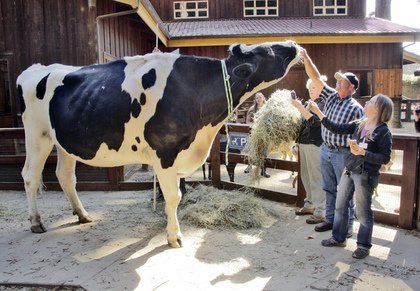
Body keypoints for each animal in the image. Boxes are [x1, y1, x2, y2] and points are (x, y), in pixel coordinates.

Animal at [18, 40, 300, 246]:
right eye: (268, 51)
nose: (293, 44)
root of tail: (35, 69)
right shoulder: (165, 152)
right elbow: (174, 196)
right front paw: (174, 236)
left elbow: (176, 194)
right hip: (37, 134)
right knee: (30, 175)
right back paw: (35, 222)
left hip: (63, 140)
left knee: (65, 176)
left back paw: (83, 215)